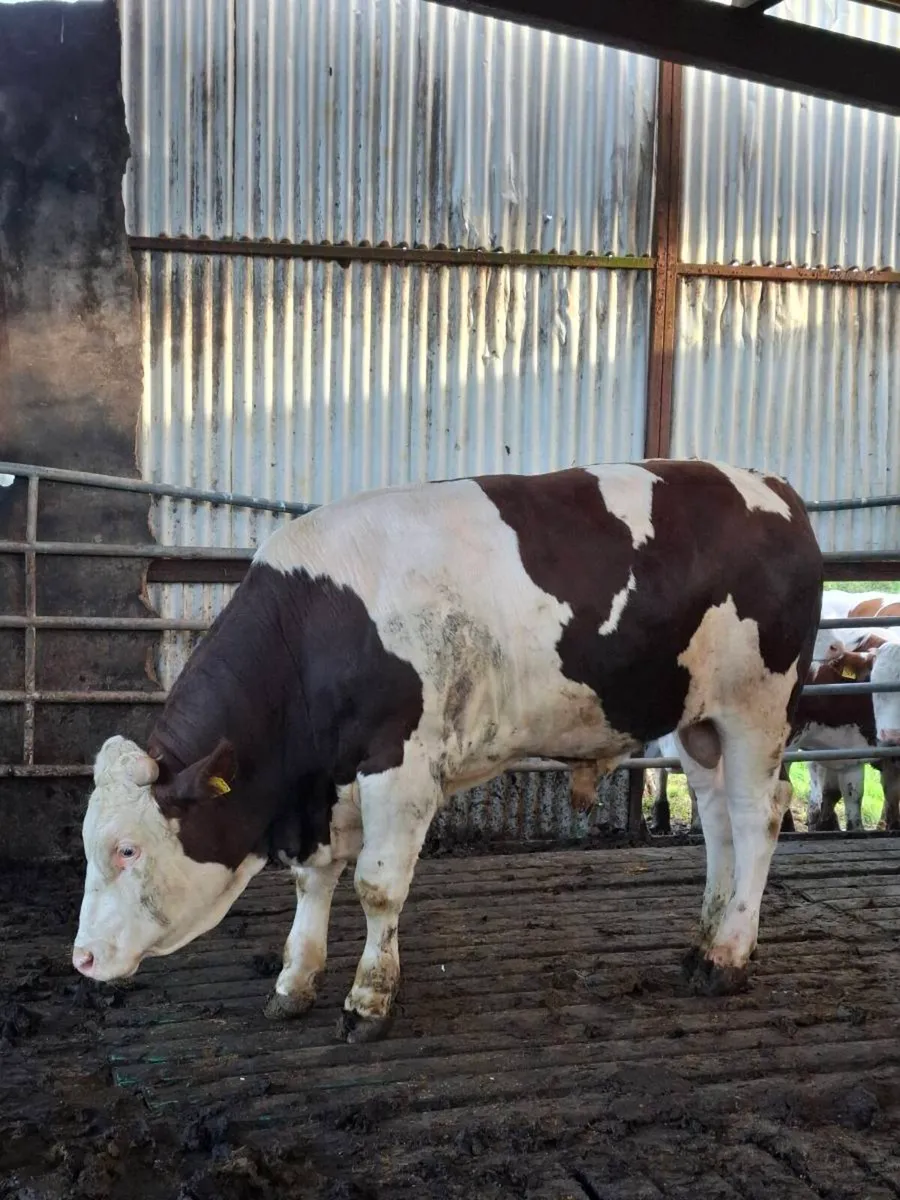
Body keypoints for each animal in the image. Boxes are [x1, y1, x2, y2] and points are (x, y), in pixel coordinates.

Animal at [72, 459, 822, 1039]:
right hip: (700, 721)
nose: (81, 960)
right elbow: (313, 881)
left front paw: (368, 1000)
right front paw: (294, 982)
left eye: (127, 849)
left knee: (758, 817)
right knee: (717, 820)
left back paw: (727, 957)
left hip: (757, 707)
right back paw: (702, 941)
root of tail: (771, 485)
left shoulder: (397, 766)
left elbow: (376, 886)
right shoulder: (326, 786)